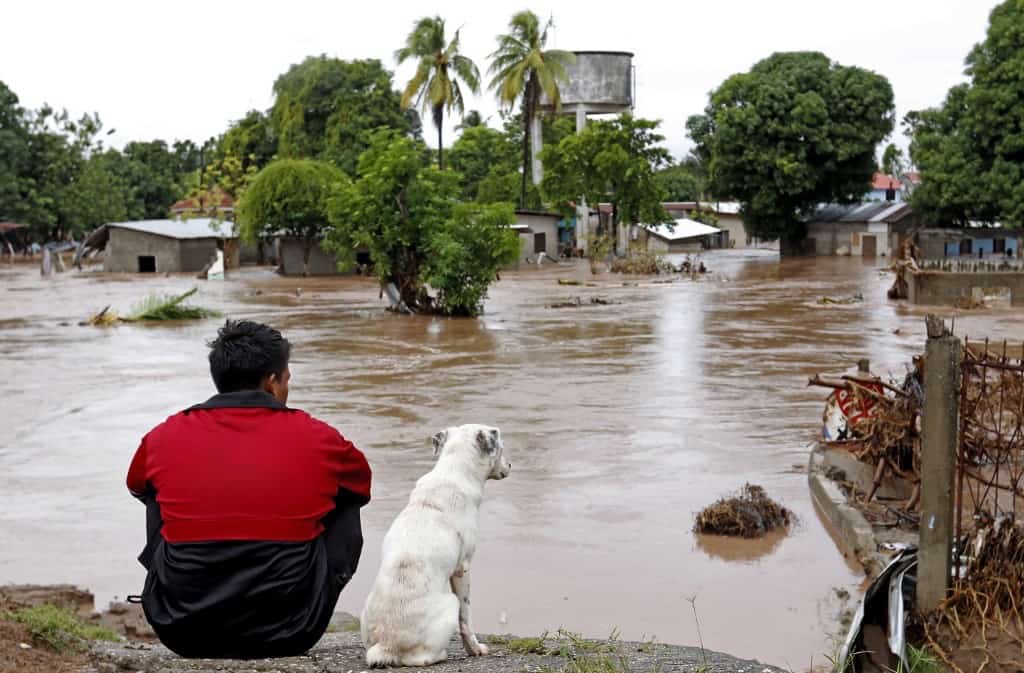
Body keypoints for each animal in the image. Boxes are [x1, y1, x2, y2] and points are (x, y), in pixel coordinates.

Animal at [364, 422, 516, 663]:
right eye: (501, 448)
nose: (510, 465)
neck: (453, 472)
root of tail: (386, 646)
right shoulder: (463, 569)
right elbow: (466, 619)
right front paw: (475, 649)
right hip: (450, 603)